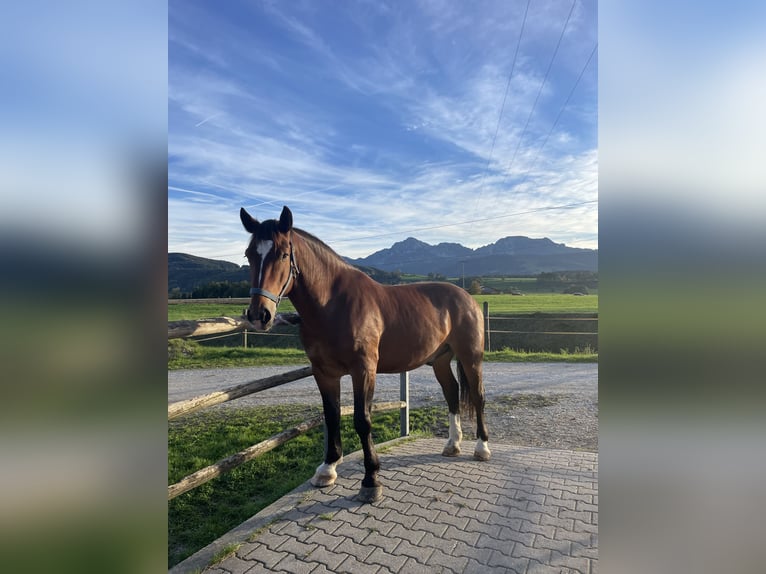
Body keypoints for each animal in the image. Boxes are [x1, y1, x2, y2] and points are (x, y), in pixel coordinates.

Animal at [242, 207, 492, 504]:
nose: (259, 315)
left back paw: (482, 448)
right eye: (249, 255)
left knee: (477, 396)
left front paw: (371, 480)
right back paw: (453, 444)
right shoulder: (323, 373)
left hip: (470, 357)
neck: (333, 304)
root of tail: (466, 296)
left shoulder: (363, 370)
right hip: (441, 360)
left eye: (282, 254)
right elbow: (332, 416)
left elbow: (363, 420)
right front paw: (327, 469)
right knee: (452, 393)